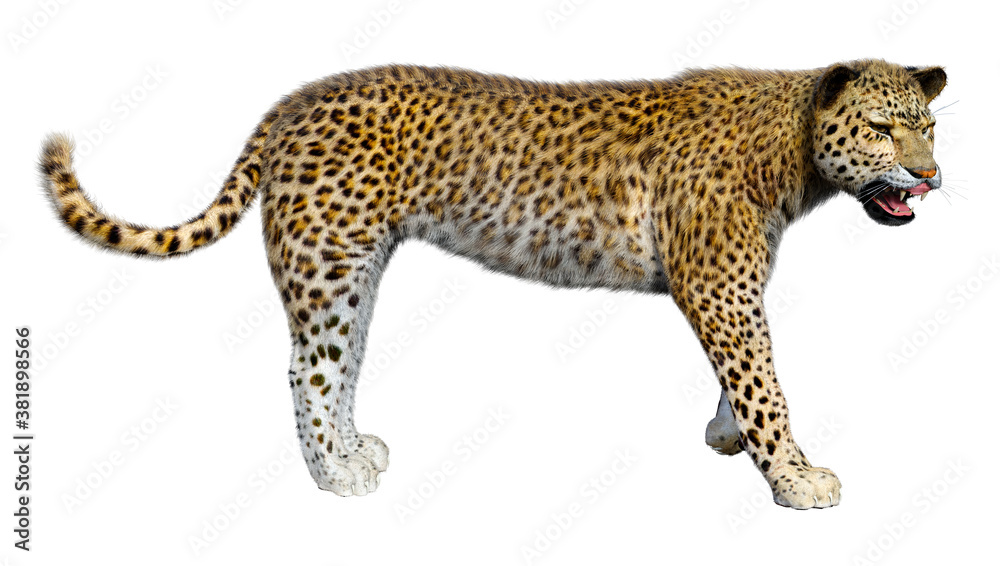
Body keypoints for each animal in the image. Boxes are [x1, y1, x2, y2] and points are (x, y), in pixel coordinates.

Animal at [39, 59, 946, 509]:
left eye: (929, 126)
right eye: (881, 128)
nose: (931, 176)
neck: (794, 152)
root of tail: (297, 99)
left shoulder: (730, 281)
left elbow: (743, 375)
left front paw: (730, 437)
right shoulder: (719, 282)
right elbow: (765, 382)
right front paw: (794, 477)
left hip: (357, 266)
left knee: (341, 361)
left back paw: (354, 450)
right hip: (328, 262)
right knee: (307, 369)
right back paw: (334, 478)